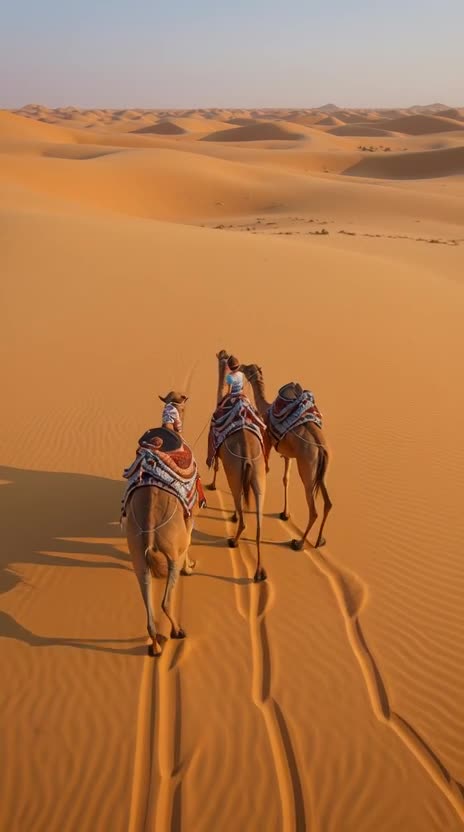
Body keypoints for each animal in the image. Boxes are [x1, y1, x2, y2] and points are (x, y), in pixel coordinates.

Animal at [125, 486, 196, 656]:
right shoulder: (190, 515)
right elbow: (190, 537)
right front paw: (189, 568)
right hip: (173, 552)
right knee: (166, 601)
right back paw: (177, 631)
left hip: (138, 553)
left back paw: (156, 647)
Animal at [207, 350, 267, 582]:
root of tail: (249, 456)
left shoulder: (216, 446)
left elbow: (215, 467)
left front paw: (212, 486)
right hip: (259, 475)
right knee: (258, 523)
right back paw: (259, 572)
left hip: (236, 470)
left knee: (242, 512)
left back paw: (233, 541)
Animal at [241, 364, 332, 551]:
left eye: (248, 369)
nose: (239, 365)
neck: (266, 408)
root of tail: (321, 449)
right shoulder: (288, 454)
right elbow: (286, 479)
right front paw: (285, 514)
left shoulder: (267, 440)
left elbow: (266, 469)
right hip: (323, 470)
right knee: (328, 503)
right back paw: (319, 541)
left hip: (307, 468)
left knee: (314, 510)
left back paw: (298, 543)